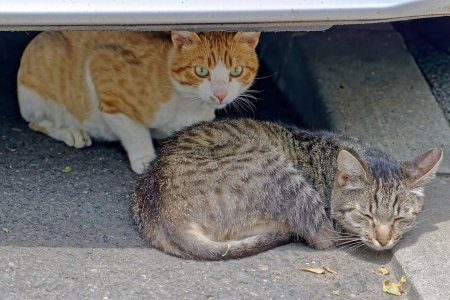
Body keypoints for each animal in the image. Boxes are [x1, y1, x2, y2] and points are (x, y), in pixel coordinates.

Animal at [16, 30, 260, 173]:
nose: (220, 94)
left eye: (236, 71)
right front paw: (145, 158)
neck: (187, 102)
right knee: (37, 122)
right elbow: (134, 130)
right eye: (201, 71)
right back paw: (71, 132)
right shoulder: (100, 68)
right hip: (37, 96)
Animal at [132, 118, 442, 258]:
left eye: (400, 218)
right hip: (284, 176)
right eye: (365, 215)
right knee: (319, 236)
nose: (384, 240)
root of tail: (162, 213)